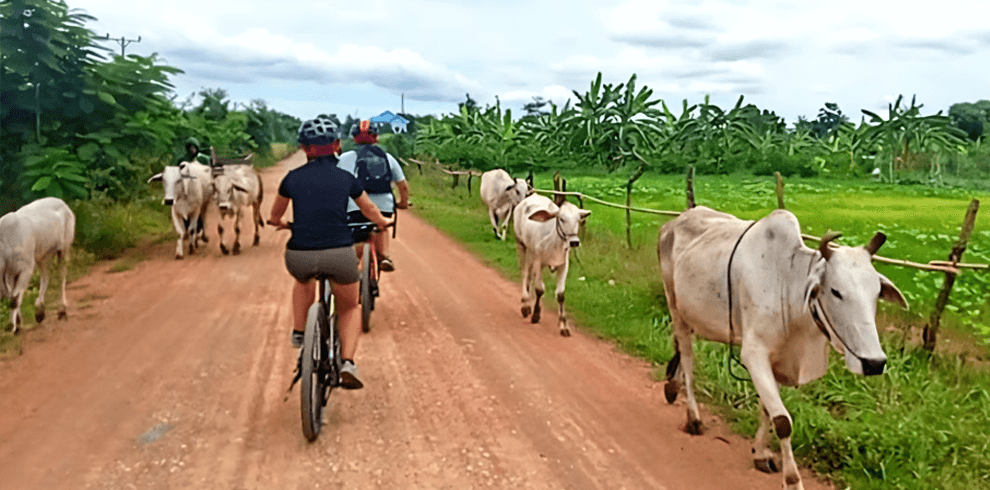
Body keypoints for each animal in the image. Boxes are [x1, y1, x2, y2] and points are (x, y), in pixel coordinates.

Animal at [0, 196, 76, 334]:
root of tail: (63, 203)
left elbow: (14, 299)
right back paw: (40, 312)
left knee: (62, 276)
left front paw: (13, 326)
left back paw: (62, 310)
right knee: (45, 277)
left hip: (64, 249)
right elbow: (13, 297)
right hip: (43, 256)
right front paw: (18, 323)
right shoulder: (10, 275)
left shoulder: (26, 269)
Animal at [516, 193, 592, 334]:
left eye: (578, 219)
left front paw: (563, 325)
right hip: (521, 245)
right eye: (561, 219)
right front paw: (536, 315)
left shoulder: (563, 265)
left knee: (529, 276)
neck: (554, 241)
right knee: (524, 273)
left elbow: (561, 294)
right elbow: (540, 289)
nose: (574, 242)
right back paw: (525, 304)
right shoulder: (539, 262)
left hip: (531, 252)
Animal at [664, 205, 912, 488]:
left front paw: (761, 454)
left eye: (876, 293)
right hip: (675, 308)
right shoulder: (754, 355)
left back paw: (671, 385)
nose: (874, 363)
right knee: (688, 361)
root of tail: (674, 223)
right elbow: (783, 421)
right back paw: (693, 417)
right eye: (836, 291)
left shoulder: (779, 360)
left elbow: (767, 410)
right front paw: (792, 479)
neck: (788, 284)